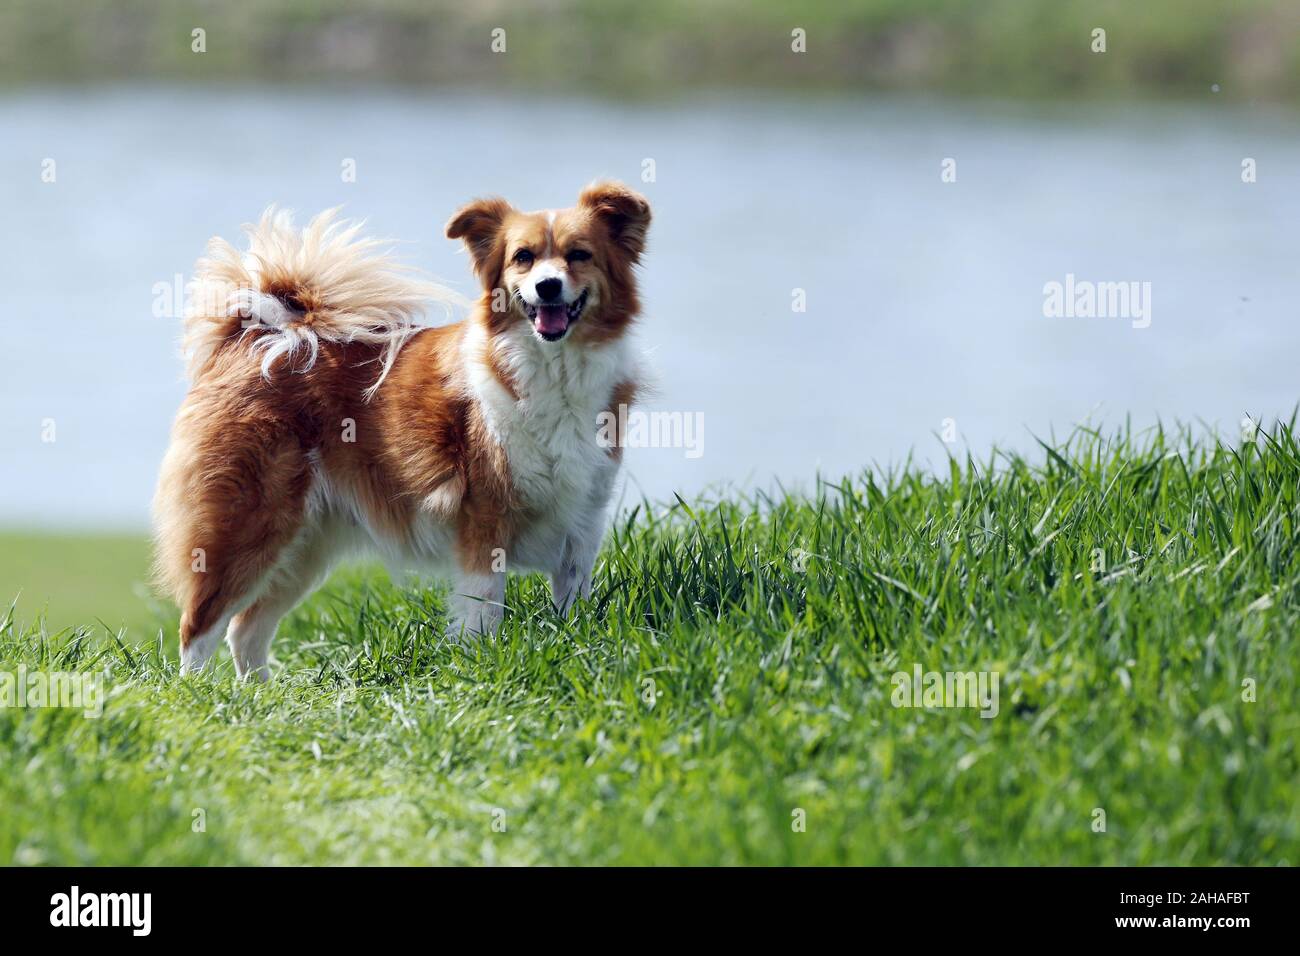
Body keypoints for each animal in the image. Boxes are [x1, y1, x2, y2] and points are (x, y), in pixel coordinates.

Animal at [152, 183, 650, 676]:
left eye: (580, 255)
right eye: (522, 257)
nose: (548, 287)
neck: (554, 367)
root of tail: (264, 335)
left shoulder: (581, 522)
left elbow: (573, 603)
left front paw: (577, 649)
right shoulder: (485, 520)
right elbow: (483, 611)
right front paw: (479, 665)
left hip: (307, 543)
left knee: (245, 629)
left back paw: (259, 692)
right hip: (247, 523)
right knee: (199, 626)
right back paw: (200, 691)